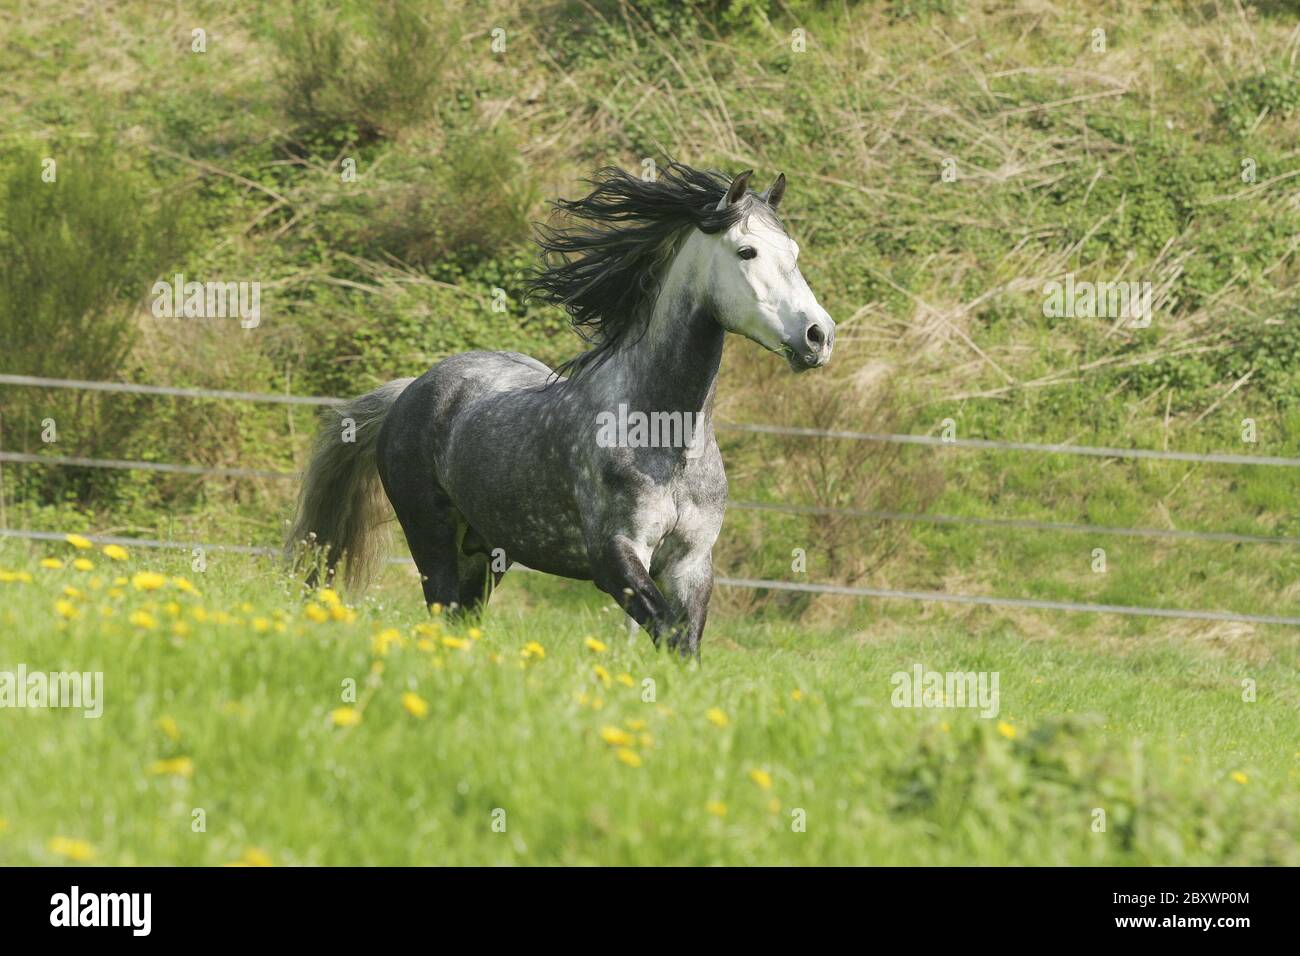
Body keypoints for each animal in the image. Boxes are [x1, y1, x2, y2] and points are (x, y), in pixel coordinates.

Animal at [284, 164, 832, 658]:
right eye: (746, 251)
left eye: (794, 254)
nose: (819, 336)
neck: (667, 438)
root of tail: (411, 390)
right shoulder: (615, 555)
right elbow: (666, 631)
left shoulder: (692, 562)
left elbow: (685, 644)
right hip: (431, 539)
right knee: (441, 611)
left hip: (486, 551)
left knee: (463, 619)